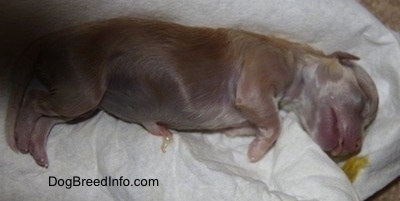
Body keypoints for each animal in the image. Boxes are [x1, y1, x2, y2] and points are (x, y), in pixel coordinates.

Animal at [4, 18, 378, 167]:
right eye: (364, 98)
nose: (356, 146)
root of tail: (51, 37)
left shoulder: (245, 114)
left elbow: (248, 126)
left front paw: (250, 140)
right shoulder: (257, 75)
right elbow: (273, 124)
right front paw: (257, 152)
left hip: (78, 101)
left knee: (46, 115)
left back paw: (37, 149)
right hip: (83, 89)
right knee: (34, 101)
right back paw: (21, 136)